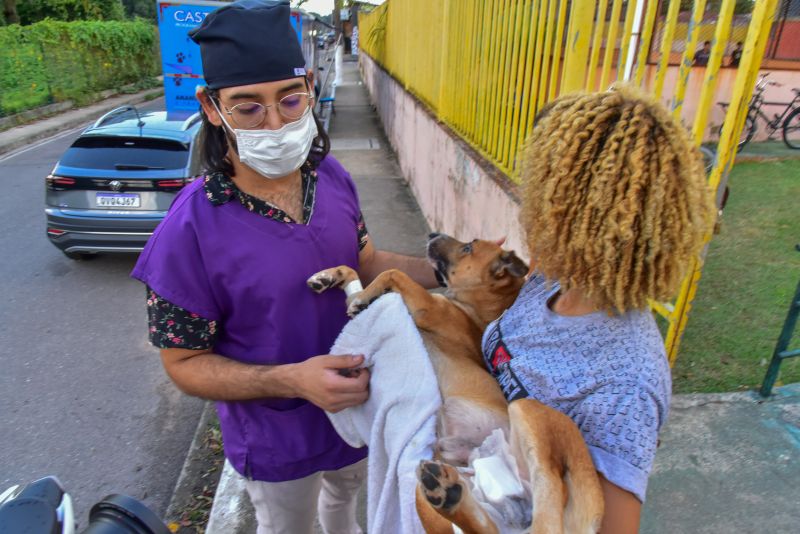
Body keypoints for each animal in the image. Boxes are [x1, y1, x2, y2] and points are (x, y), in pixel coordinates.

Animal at [310, 234, 604, 534]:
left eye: (468, 247)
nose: (432, 235)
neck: (476, 306)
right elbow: (355, 271)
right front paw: (330, 277)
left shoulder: (426, 307)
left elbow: (392, 272)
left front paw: (360, 296)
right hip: (447, 481)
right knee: (482, 524)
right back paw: (445, 492)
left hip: (528, 413)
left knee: (547, 518)